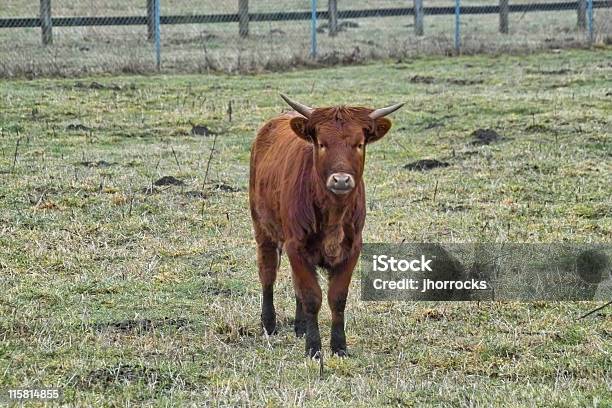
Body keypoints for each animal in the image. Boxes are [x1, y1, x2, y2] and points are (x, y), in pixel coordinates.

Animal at [246, 95, 404, 356]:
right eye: (321, 143)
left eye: (359, 144)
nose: (341, 180)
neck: (333, 214)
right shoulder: (296, 245)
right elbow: (312, 296)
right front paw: (313, 347)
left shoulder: (351, 249)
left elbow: (336, 297)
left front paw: (339, 346)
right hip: (263, 228)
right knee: (267, 272)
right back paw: (268, 323)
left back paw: (299, 326)